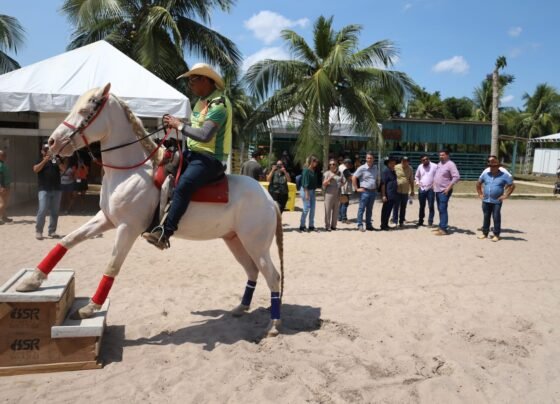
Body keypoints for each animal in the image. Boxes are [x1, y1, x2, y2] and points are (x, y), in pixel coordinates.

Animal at [16, 83, 284, 337]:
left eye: (85, 110)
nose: (52, 143)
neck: (131, 172)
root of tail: (269, 200)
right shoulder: (106, 219)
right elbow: (68, 240)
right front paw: (32, 280)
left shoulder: (128, 228)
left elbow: (112, 266)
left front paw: (91, 307)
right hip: (234, 240)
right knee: (252, 271)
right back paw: (241, 308)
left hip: (256, 245)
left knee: (273, 276)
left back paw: (272, 325)